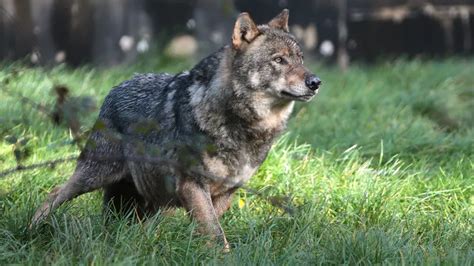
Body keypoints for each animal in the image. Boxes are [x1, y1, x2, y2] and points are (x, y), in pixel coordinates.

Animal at [30, 8, 322, 249]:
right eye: (279, 60)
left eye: (301, 59)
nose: (316, 82)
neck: (240, 125)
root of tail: (117, 86)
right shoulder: (192, 184)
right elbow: (216, 234)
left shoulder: (225, 192)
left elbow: (211, 230)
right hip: (96, 175)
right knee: (54, 193)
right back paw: (32, 228)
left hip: (151, 199)